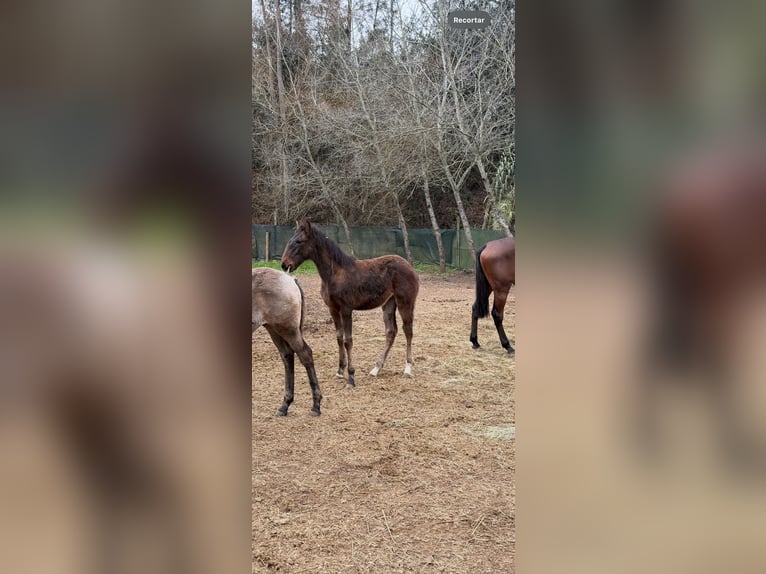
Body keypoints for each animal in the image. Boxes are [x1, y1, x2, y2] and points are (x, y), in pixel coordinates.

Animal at [254, 268, 322, 416]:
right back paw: (285, 405)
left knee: (305, 355)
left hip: (288, 329)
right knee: (287, 356)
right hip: (273, 328)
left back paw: (316, 405)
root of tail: (290, 278)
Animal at [282, 223, 420, 390]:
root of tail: (410, 267)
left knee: (408, 331)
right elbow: (339, 338)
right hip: (388, 304)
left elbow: (348, 340)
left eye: (299, 241)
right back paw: (376, 369)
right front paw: (340, 371)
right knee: (391, 332)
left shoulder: (346, 309)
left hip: (405, 302)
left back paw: (407, 368)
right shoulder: (333, 309)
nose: (285, 264)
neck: (334, 273)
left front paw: (351, 378)